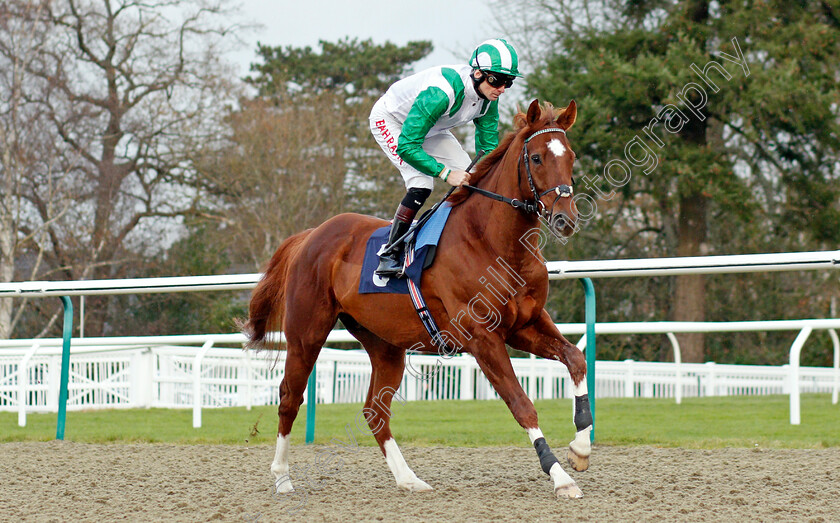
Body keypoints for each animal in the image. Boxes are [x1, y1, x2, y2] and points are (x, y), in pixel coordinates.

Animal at [243, 98, 592, 500]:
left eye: (571, 156)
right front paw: (560, 477)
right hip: (305, 334)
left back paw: (408, 478)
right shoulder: (482, 337)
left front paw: (580, 449)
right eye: (536, 158)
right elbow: (522, 404)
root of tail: (311, 234)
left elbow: (576, 358)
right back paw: (282, 477)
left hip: (384, 344)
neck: (494, 242)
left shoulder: (527, 324)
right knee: (289, 397)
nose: (566, 218)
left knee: (375, 410)